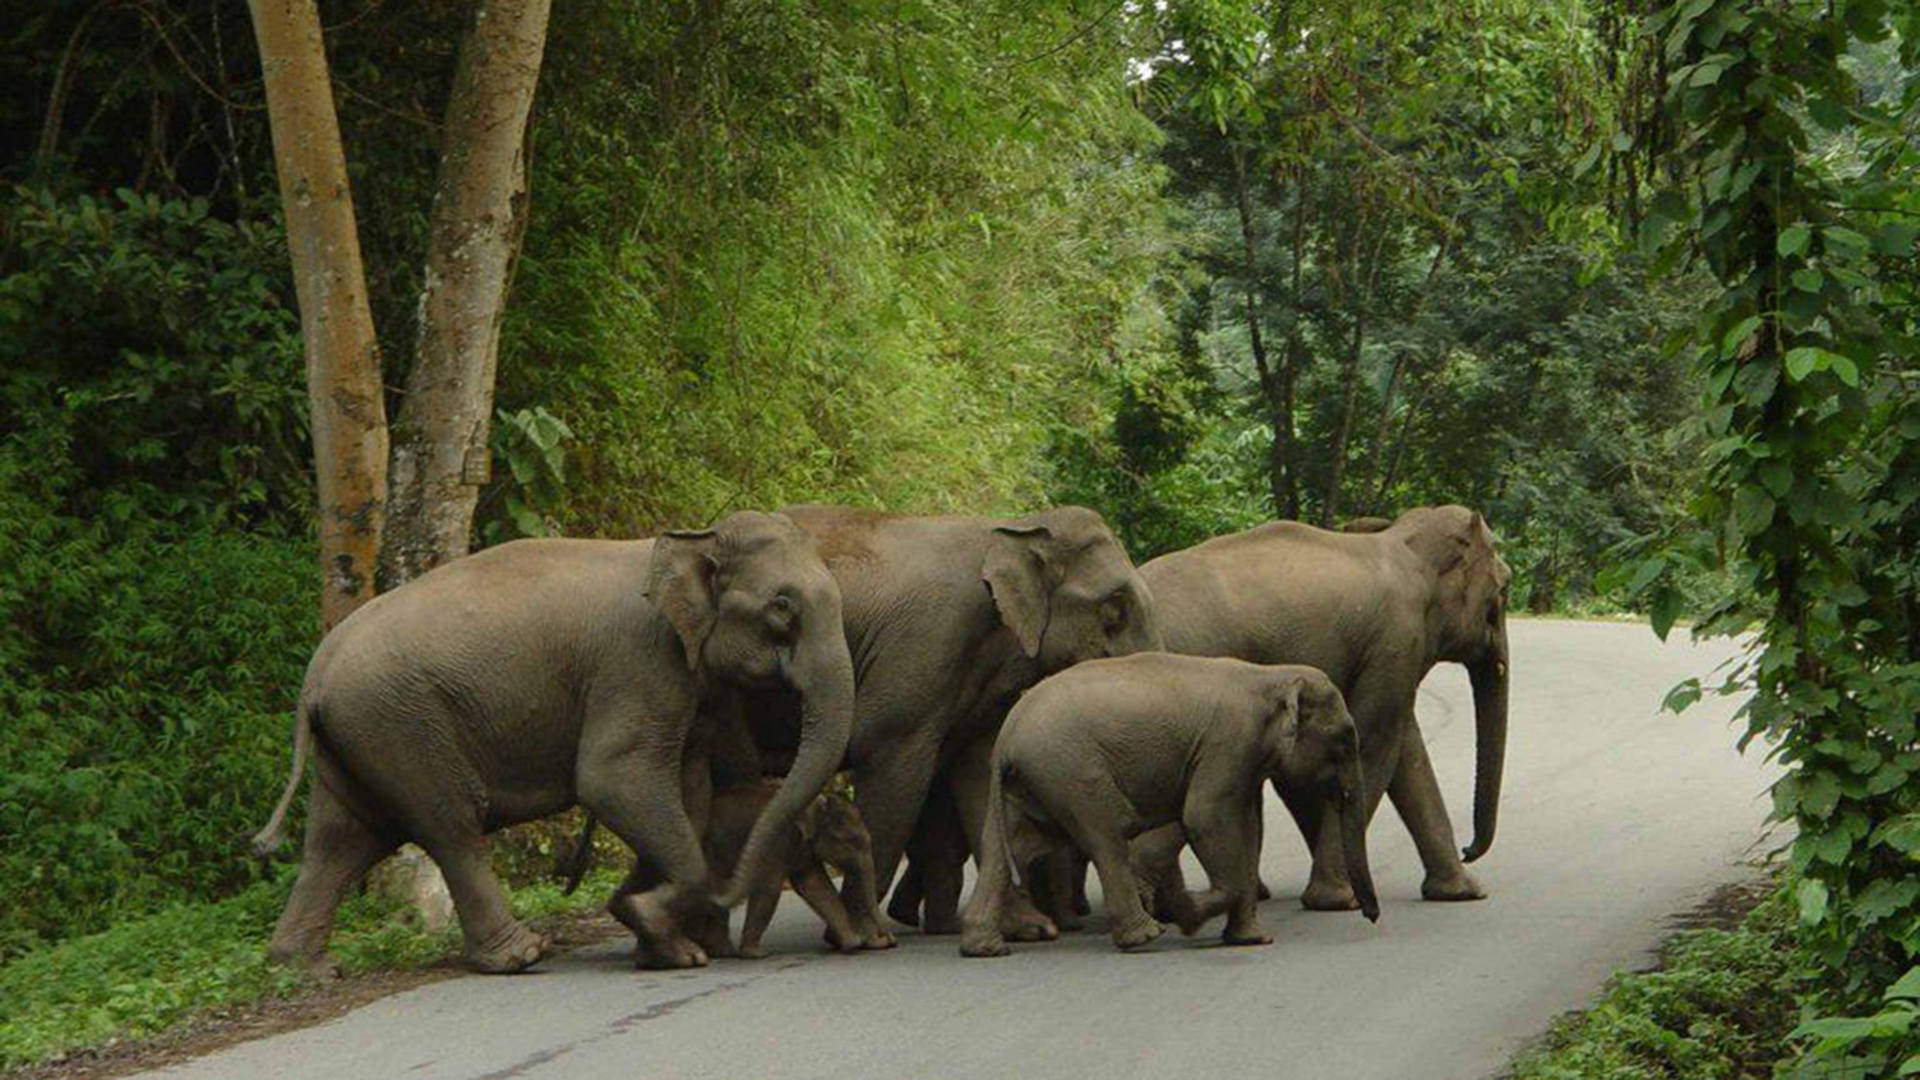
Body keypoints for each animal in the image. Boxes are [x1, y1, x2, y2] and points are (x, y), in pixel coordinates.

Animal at [249, 507, 856, 972]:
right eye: (782, 607)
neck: (690, 537)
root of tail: (316, 673)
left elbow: (687, 792)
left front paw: (656, 938)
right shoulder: (638, 664)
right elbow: (612, 779)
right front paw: (657, 928)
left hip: (356, 732)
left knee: (342, 838)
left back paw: (305, 967)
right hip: (399, 722)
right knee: (449, 823)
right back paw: (521, 956)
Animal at [702, 776, 894, 953]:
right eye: (850, 841)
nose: (888, 939)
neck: (813, 804)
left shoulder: (803, 850)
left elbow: (815, 885)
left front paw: (853, 942)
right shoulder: (777, 844)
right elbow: (770, 888)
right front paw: (755, 953)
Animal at [729, 503, 1159, 941]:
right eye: (1114, 608)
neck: (1015, 529)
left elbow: (979, 773)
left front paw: (1031, 929)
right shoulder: (926, 643)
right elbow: (889, 762)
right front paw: (864, 936)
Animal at [960, 653, 1382, 953]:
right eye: (1345, 738)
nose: (1370, 916)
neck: (1270, 675)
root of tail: (1007, 736)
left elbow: (1244, 829)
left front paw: (1250, 940)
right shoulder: (1229, 742)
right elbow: (1204, 818)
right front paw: (1186, 911)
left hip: (1029, 783)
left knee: (1006, 849)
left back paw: (985, 948)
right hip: (1070, 771)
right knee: (1107, 837)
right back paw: (1146, 936)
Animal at [1128, 499, 1505, 903]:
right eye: (1503, 590)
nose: (1468, 850)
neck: (1402, 539)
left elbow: (1404, 750)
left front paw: (1462, 892)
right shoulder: (1396, 640)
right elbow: (1375, 744)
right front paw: (1340, 897)